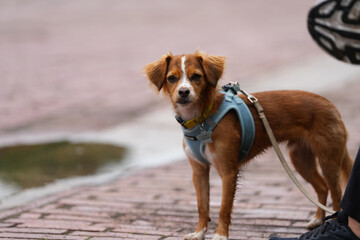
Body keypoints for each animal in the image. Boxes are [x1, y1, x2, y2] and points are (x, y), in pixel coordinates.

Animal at [143, 51, 352, 240]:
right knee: (322, 188)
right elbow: (202, 206)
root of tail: (329, 104)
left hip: (328, 160)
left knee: (337, 195)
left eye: (196, 76)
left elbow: (224, 207)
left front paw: (220, 235)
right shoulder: (199, 170)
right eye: (171, 78)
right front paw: (199, 233)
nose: (184, 92)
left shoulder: (228, 171)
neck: (201, 119)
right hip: (301, 160)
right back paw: (317, 220)